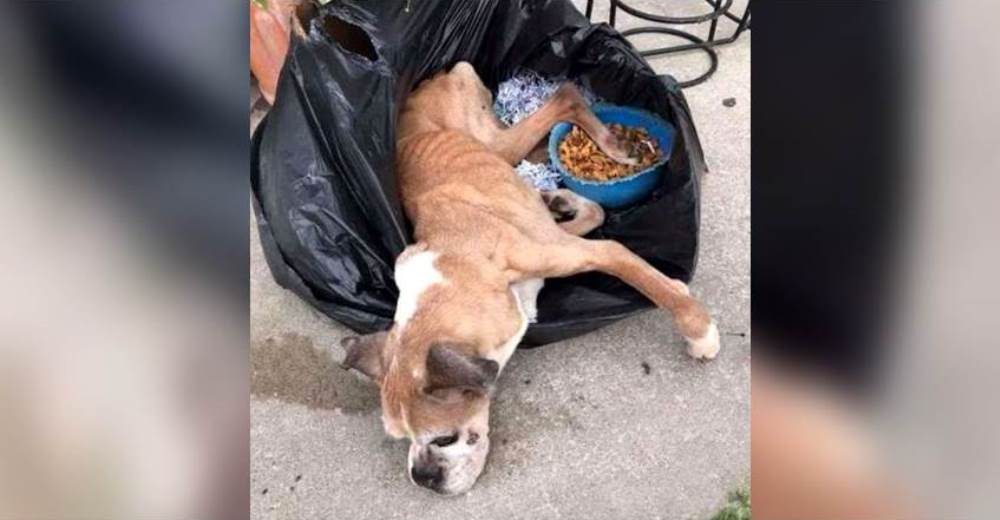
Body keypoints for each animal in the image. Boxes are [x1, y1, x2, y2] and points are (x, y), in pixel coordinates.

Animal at [340, 62, 716, 496]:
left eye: (444, 438)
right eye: (402, 439)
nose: (423, 477)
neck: (459, 271)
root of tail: (428, 80)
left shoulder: (586, 252)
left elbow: (641, 273)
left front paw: (700, 331)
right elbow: (595, 217)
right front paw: (562, 202)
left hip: (494, 141)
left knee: (565, 98)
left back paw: (612, 145)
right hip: (501, 143)